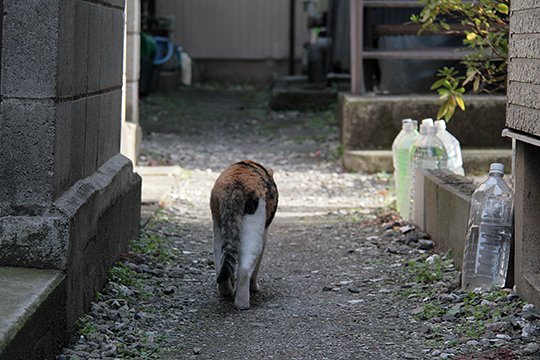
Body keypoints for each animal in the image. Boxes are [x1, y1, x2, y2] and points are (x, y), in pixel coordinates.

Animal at [209, 160, 278, 310]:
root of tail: (235, 185)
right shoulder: (264, 233)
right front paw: (254, 287)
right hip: (254, 226)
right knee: (245, 268)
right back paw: (242, 304)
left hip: (219, 228)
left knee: (221, 262)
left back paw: (226, 291)